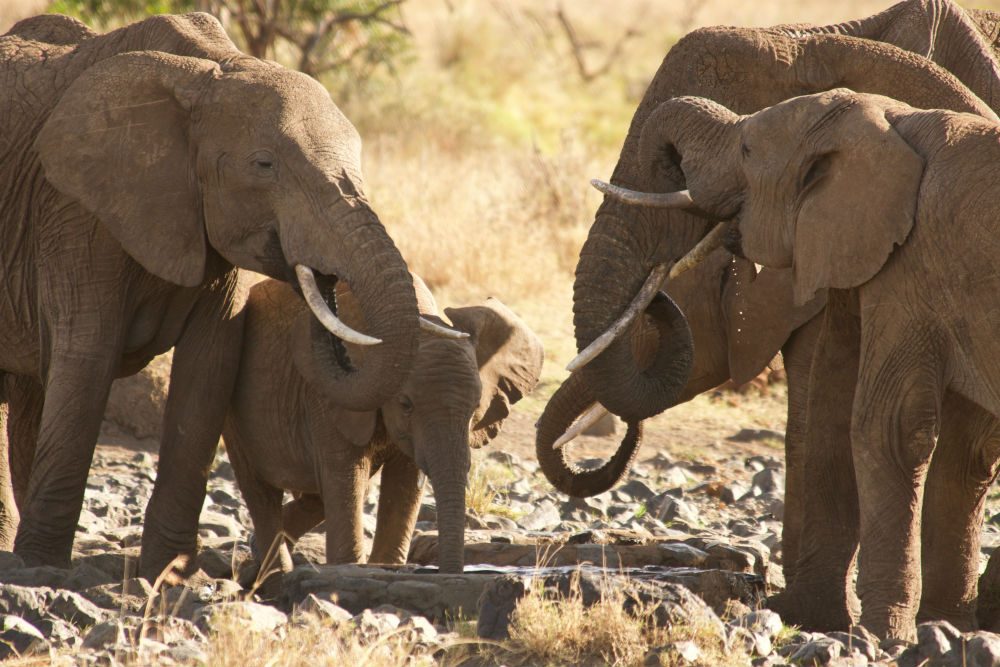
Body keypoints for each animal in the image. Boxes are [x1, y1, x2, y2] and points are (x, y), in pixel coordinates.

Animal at [0, 13, 468, 580]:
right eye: (263, 165)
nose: (325, 284)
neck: (215, 66)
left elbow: (208, 368)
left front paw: (171, 575)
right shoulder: (75, 209)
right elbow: (87, 358)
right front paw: (43, 567)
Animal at [223, 274, 544, 576]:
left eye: (476, 407)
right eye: (406, 404)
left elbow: (403, 481)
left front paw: (386, 566)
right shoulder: (329, 397)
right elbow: (348, 476)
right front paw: (349, 568)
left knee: (317, 495)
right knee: (259, 488)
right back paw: (271, 571)